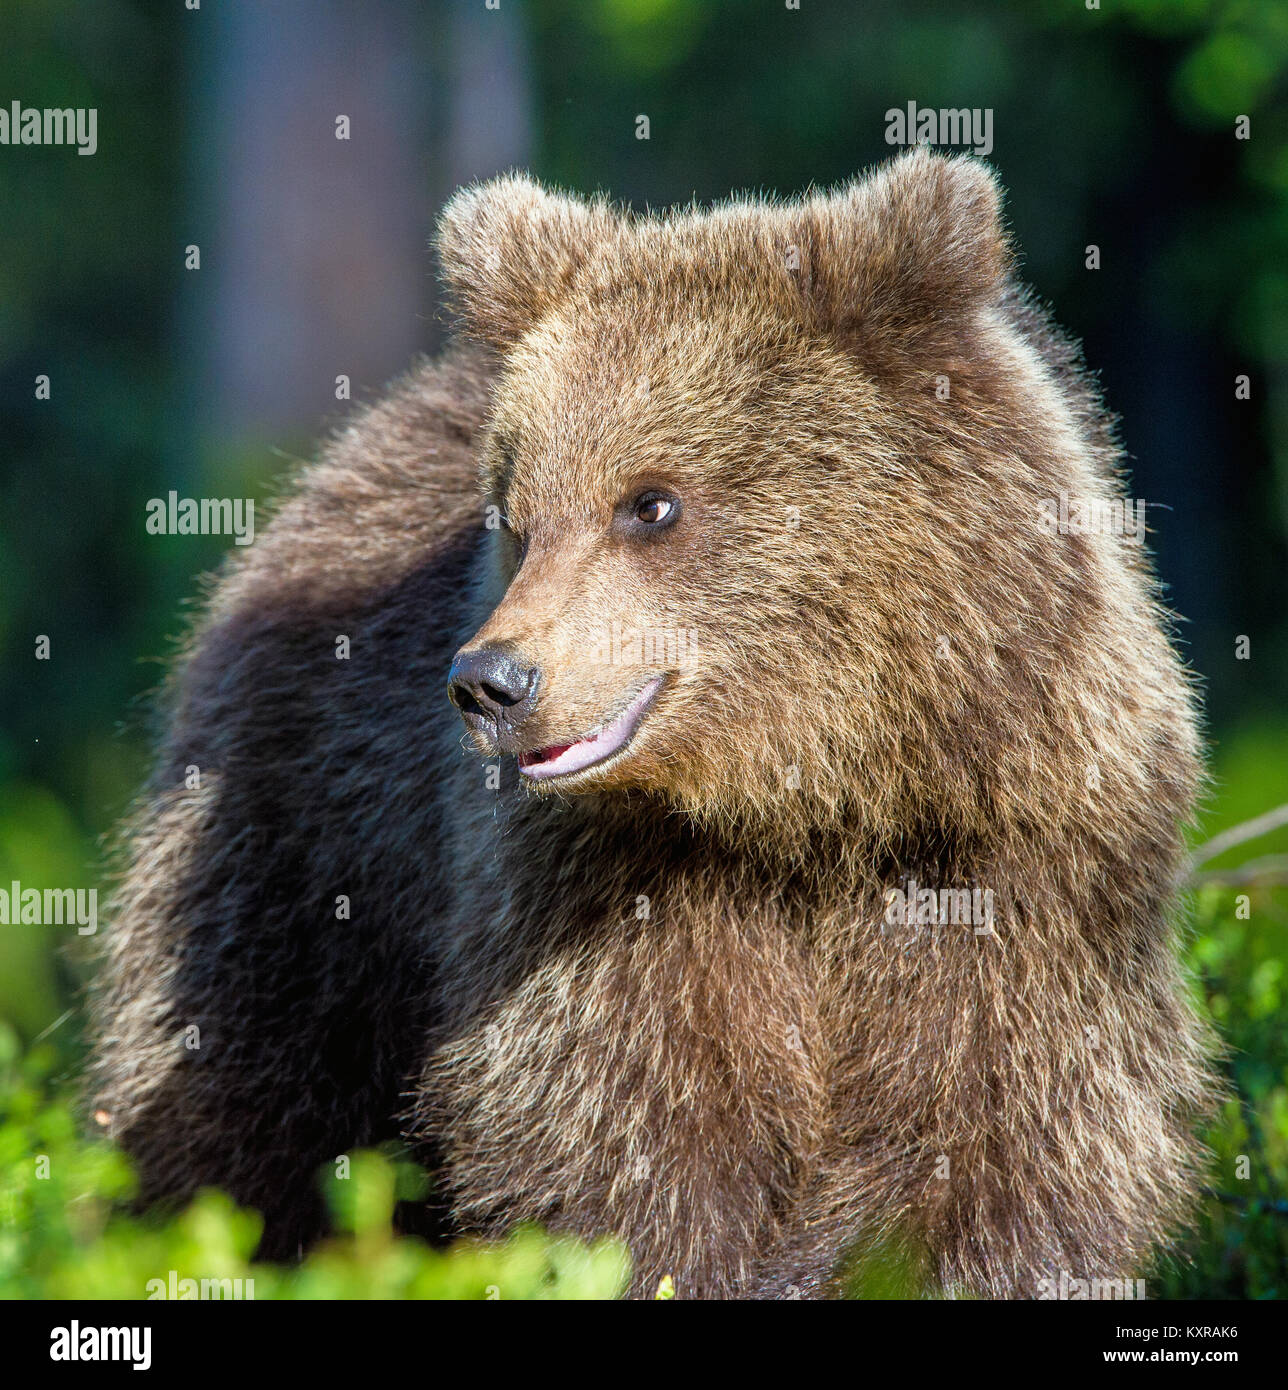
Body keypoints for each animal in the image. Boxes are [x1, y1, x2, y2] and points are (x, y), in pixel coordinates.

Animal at [89, 149, 1218, 1299]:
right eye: (516, 516)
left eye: (651, 502)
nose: (492, 681)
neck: (812, 799)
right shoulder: (600, 886)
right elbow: (630, 1134)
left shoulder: (1018, 865)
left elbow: (1002, 1147)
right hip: (306, 835)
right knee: (238, 1092)